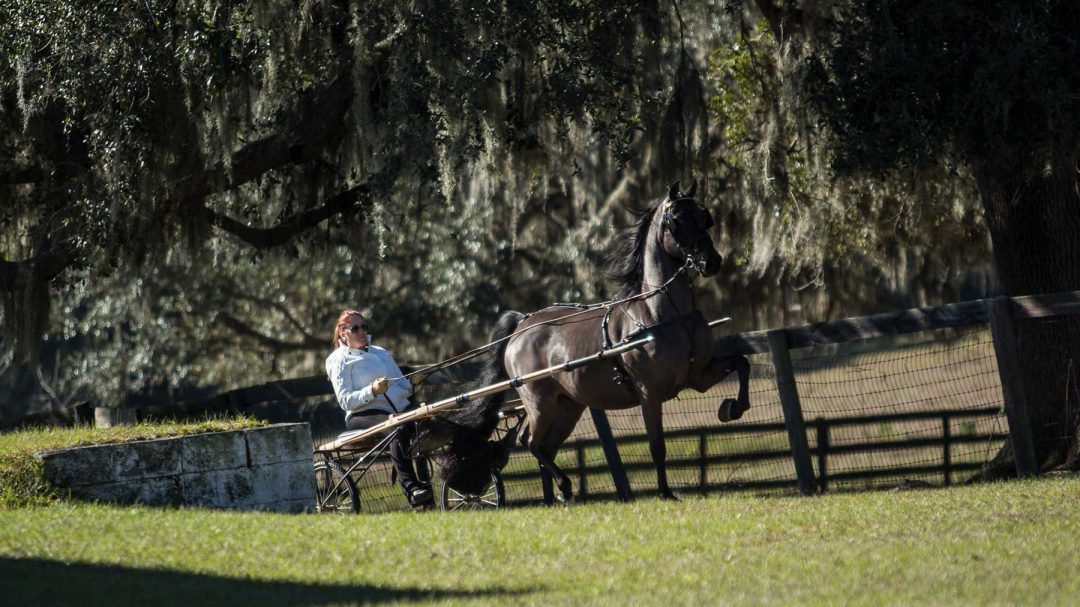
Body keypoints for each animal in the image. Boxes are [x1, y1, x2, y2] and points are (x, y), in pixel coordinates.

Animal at [440, 181, 751, 502]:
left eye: (704, 216)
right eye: (676, 219)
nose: (712, 262)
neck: (667, 315)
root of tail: (522, 325)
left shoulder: (697, 377)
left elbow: (742, 362)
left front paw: (733, 407)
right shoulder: (649, 392)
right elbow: (657, 446)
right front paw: (665, 493)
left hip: (568, 406)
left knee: (545, 446)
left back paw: (558, 496)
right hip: (539, 401)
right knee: (530, 442)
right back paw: (563, 488)